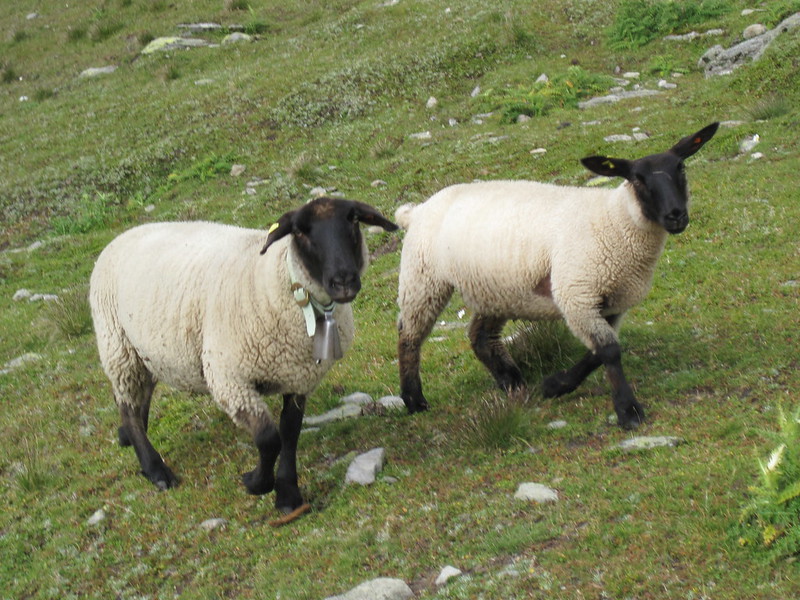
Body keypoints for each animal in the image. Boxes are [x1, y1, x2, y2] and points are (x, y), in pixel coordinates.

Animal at [89, 197, 397, 515]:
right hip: (117, 345)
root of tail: (123, 235)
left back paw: (130, 436)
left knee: (141, 395)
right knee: (127, 405)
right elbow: (269, 439)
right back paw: (155, 469)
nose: (343, 280)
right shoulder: (229, 379)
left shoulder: (298, 377)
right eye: (300, 231)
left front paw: (288, 496)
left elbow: (290, 433)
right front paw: (256, 483)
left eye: (354, 220)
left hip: (145, 352)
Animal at [396, 123, 719, 430]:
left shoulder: (612, 301)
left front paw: (555, 385)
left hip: (496, 287)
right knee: (409, 335)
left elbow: (598, 353)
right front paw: (628, 411)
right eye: (637, 179)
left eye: (681, 167)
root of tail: (416, 210)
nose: (676, 215)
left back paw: (512, 382)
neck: (615, 220)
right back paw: (414, 400)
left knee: (480, 336)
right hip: (423, 278)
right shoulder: (577, 294)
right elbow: (609, 351)